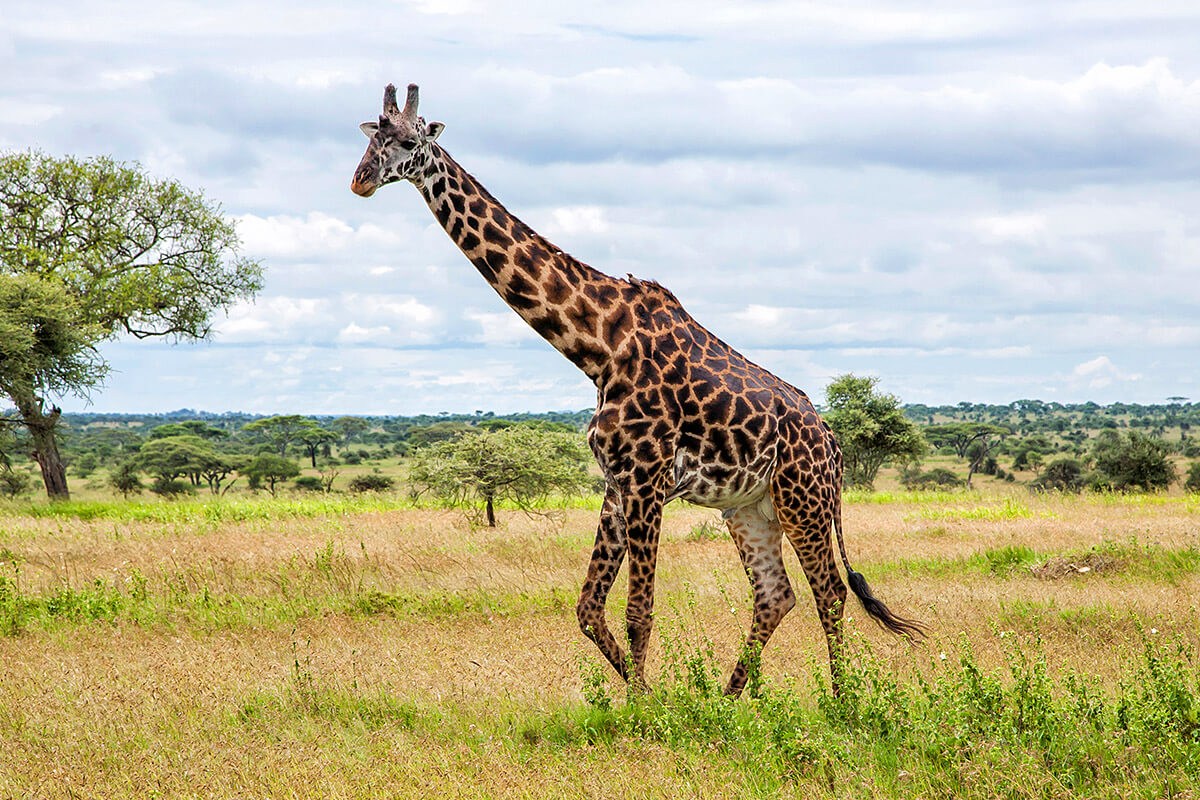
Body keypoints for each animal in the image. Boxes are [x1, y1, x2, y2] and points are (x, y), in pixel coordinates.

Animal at [351, 83, 924, 696]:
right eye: (371, 137)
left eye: (409, 141)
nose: (360, 180)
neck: (597, 346)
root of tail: (834, 445)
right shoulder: (617, 482)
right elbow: (587, 607)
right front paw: (650, 696)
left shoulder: (647, 479)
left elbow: (638, 610)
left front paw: (644, 704)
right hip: (750, 506)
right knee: (776, 594)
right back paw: (728, 700)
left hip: (803, 499)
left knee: (830, 591)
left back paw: (845, 701)